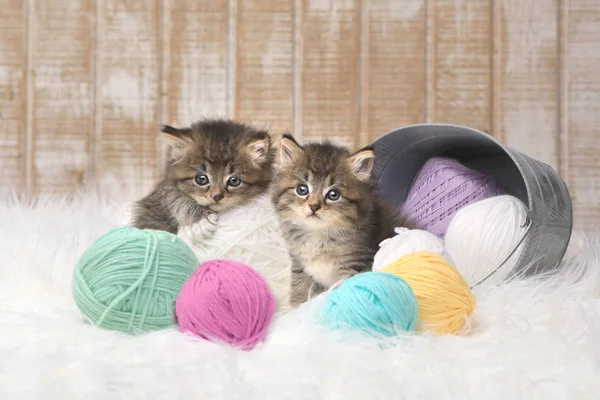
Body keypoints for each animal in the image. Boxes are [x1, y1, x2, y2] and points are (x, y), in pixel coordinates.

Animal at [131, 117, 274, 239]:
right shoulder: (164, 190)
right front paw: (201, 222)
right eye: (201, 179)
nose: (217, 197)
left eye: (234, 181)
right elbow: (176, 197)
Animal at [272, 134, 418, 306]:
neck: (318, 236)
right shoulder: (300, 265)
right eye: (302, 189)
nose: (314, 206)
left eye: (333, 194)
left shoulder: (355, 266)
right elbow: (299, 291)